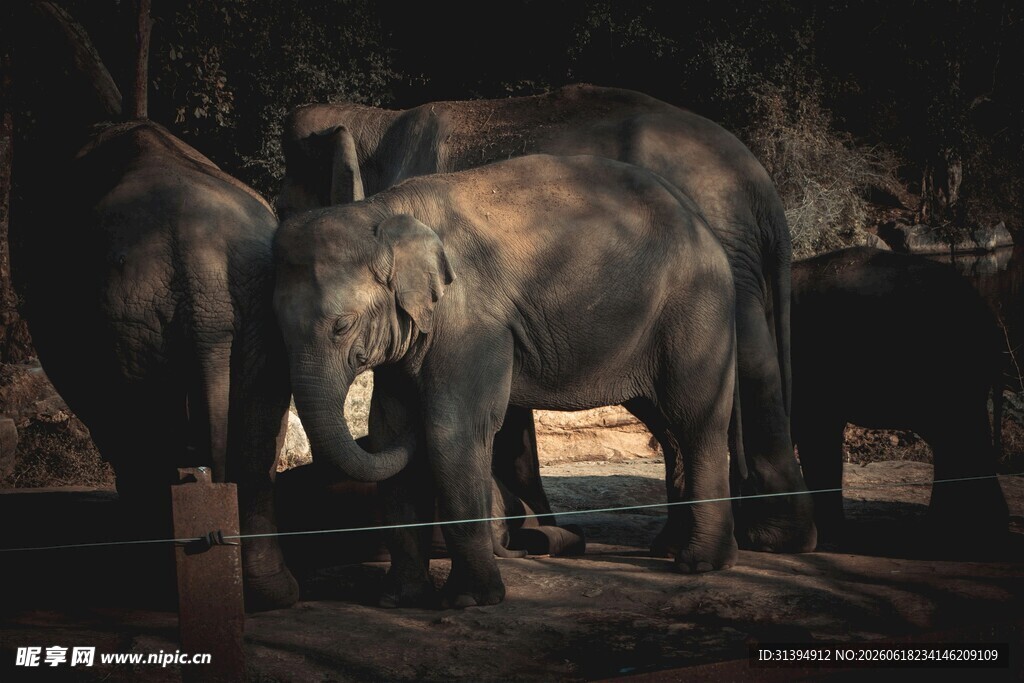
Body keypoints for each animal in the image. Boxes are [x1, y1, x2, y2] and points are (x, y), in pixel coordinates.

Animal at [273, 154, 740, 607]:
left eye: (341, 326)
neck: (382, 210)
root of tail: (700, 220)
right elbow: (388, 430)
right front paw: (396, 600)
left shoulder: (472, 320)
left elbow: (453, 429)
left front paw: (469, 600)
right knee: (667, 425)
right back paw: (673, 549)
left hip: (696, 307)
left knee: (695, 420)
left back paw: (699, 563)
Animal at [276, 83, 815, 554]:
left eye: (284, 207)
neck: (372, 118)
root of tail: (763, 192)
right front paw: (532, 532)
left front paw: (517, 533)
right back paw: (689, 543)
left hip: (715, 270)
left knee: (736, 375)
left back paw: (767, 540)